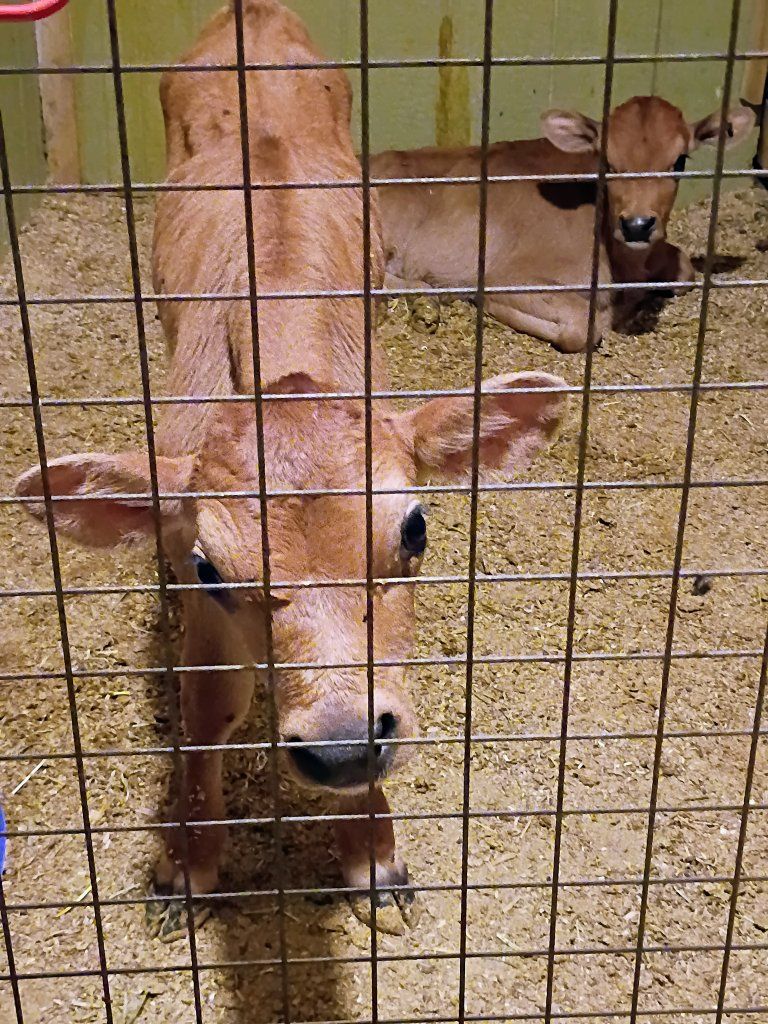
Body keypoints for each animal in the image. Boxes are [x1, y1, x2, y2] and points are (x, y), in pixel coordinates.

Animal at [14, 0, 567, 936]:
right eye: (210, 567)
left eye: (416, 529)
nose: (343, 746)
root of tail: (253, 12)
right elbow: (208, 709)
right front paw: (186, 868)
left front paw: (374, 859)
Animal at [371, 96, 754, 352]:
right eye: (606, 162)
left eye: (679, 161)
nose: (637, 225)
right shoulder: (506, 276)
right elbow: (583, 325)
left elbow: (686, 270)